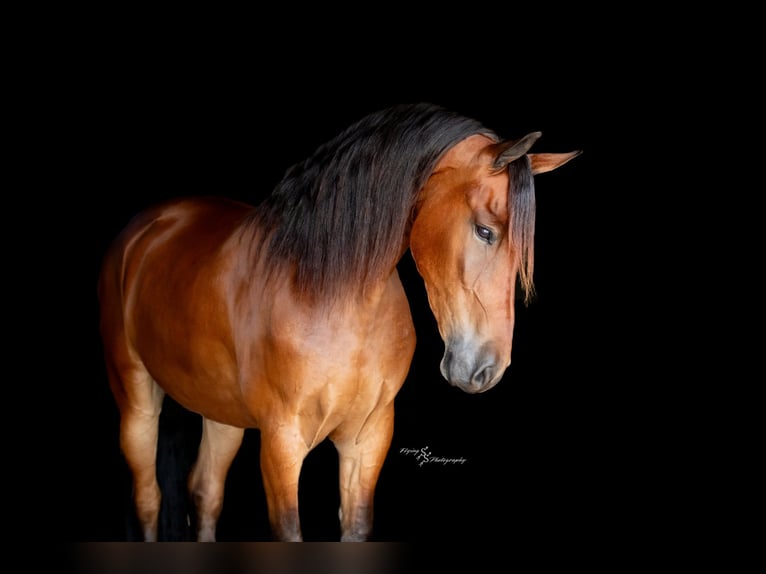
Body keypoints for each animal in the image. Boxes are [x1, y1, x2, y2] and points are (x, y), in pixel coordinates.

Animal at [97, 102, 581, 542]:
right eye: (485, 231)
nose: (486, 369)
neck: (333, 297)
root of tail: (148, 226)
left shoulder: (368, 438)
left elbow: (356, 524)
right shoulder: (281, 444)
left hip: (222, 416)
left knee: (205, 493)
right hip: (137, 403)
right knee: (148, 499)